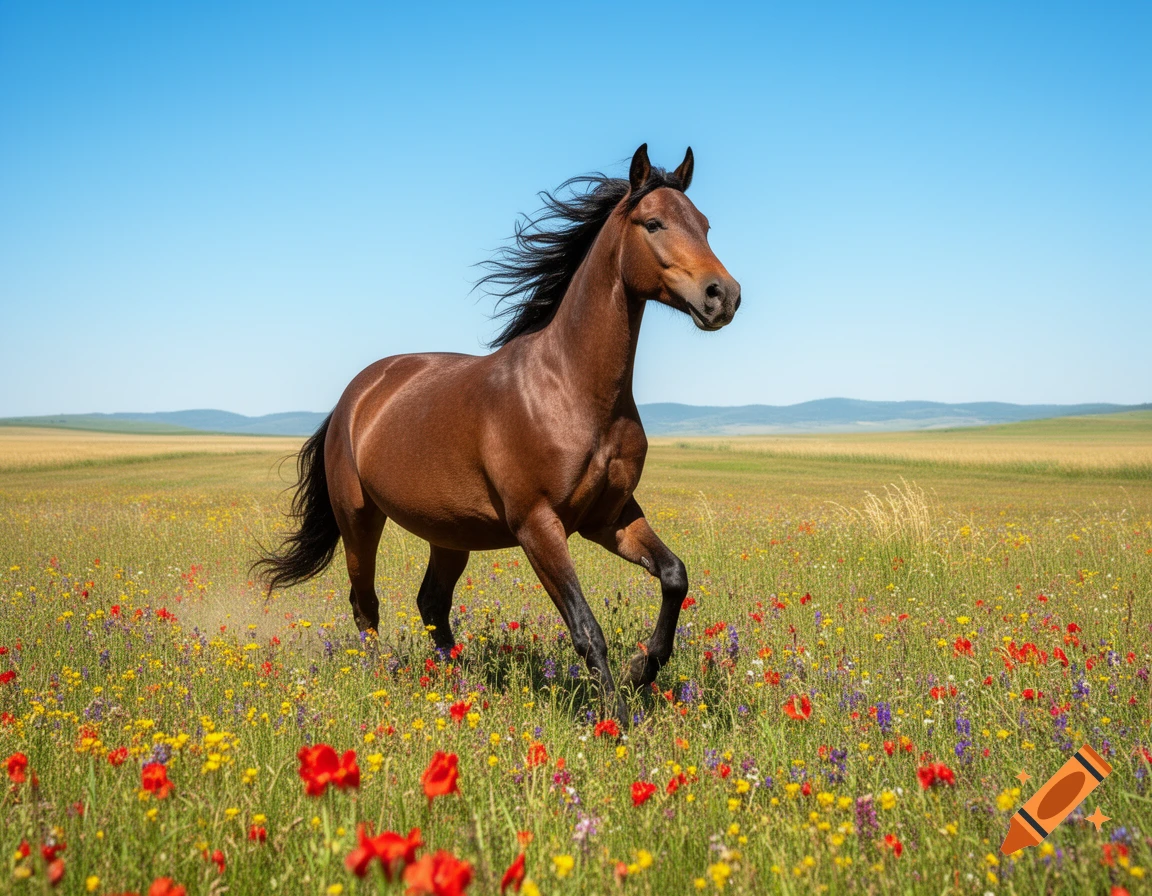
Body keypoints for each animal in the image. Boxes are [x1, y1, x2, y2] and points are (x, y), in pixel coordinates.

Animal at [255, 144, 740, 721]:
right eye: (654, 223)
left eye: (705, 225)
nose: (723, 296)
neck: (571, 388)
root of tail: (354, 396)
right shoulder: (538, 526)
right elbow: (586, 628)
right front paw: (617, 718)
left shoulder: (611, 517)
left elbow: (673, 576)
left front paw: (641, 669)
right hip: (359, 518)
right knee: (365, 603)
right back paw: (380, 681)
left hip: (449, 533)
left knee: (431, 604)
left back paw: (462, 686)